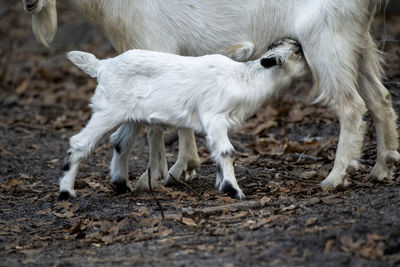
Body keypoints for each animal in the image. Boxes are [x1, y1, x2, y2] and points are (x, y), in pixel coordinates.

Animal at [23, 0, 398, 199]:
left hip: (328, 44)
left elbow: (158, 125)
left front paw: (163, 174)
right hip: (356, 44)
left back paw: (337, 176)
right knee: (380, 98)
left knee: (352, 107)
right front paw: (178, 171)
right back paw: (382, 167)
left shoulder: (154, 42)